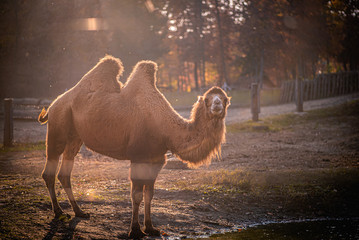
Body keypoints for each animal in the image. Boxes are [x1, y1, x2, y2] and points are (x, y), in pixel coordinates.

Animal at [38, 54, 231, 238]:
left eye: (224, 99)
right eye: (207, 99)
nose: (217, 105)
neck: (164, 127)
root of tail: (53, 104)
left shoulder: (157, 160)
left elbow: (149, 194)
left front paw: (151, 228)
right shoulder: (139, 156)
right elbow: (136, 195)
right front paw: (136, 231)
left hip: (75, 137)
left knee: (65, 172)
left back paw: (79, 212)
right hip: (58, 125)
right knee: (49, 170)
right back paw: (59, 212)